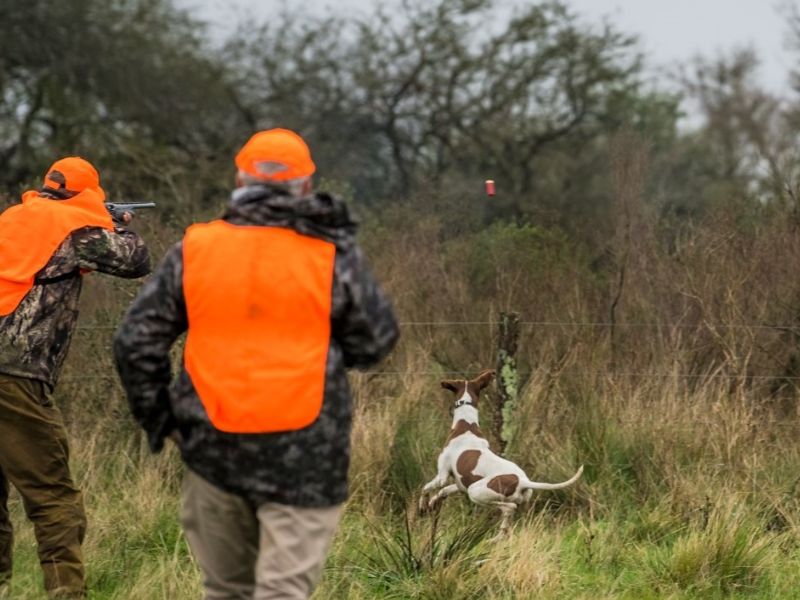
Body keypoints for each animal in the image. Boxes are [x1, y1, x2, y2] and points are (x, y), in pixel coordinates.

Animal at [418, 370, 580, 536]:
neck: (466, 424)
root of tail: (522, 481)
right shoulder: (461, 484)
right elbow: (442, 492)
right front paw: (432, 503)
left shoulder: (442, 476)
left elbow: (426, 488)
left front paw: (423, 506)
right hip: (500, 497)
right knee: (510, 519)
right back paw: (499, 537)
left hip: (476, 492)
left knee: (509, 508)